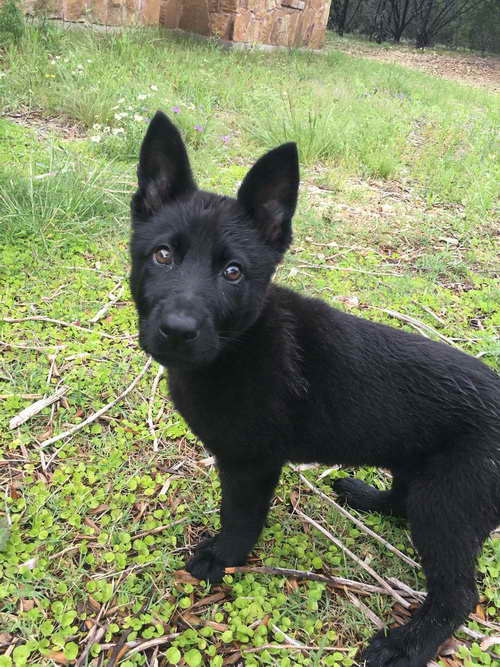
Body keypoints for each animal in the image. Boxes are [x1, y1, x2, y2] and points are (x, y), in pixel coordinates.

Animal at [130, 112, 500, 664]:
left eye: (233, 272)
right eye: (162, 255)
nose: (177, 330)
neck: (239, 345)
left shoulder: (252, 464)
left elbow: (240, 519)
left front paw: (222, 559)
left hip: (449, 506)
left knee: (458, 595)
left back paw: (406, 646)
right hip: (420, 471)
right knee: (402, 499)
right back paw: (366, 495)